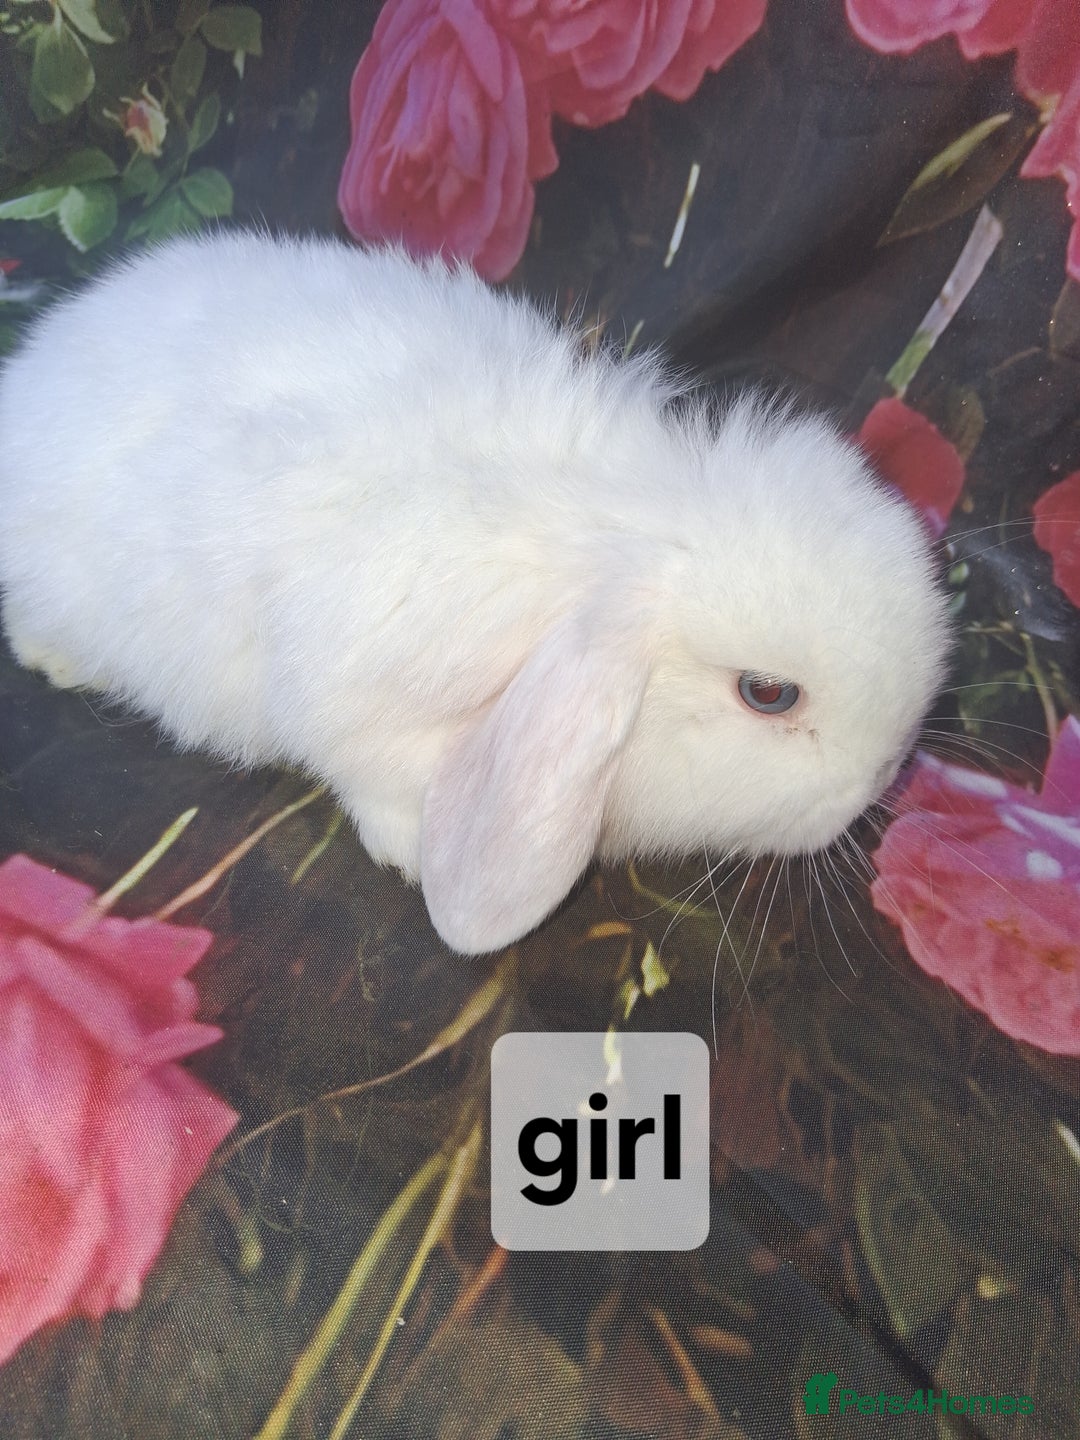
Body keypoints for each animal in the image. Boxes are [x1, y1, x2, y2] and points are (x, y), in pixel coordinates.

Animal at [0, 231, 951, 954]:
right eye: (768, 694)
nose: (884, 776)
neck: (611, 528)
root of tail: (35, 367)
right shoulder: (354, 701)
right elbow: (362, 771)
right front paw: (417, 853)